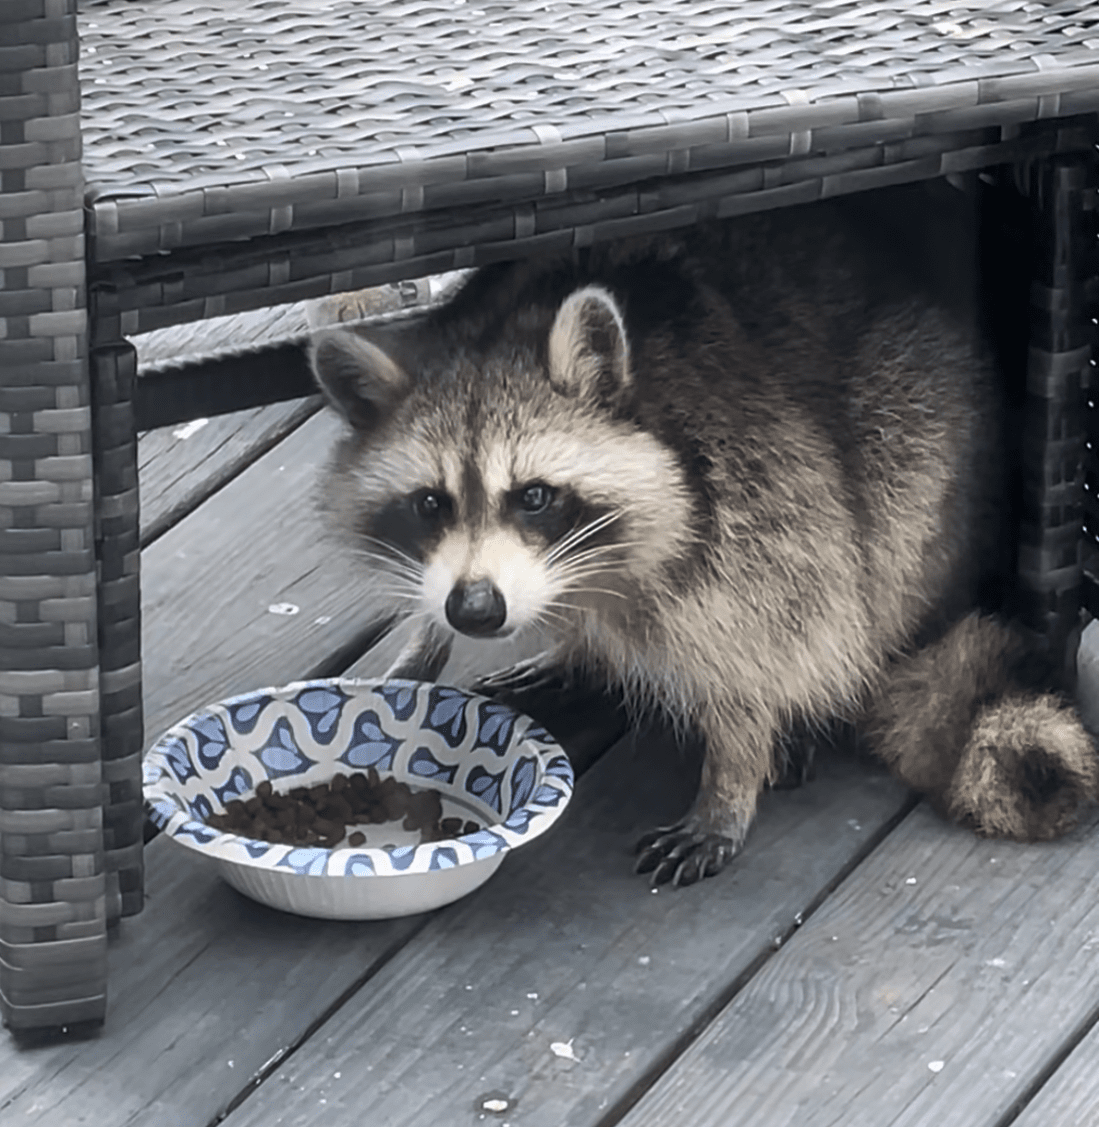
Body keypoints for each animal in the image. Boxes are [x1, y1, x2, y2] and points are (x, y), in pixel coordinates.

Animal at [309, 190, 1098, 886]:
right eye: (429, 504)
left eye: (533, 496)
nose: (476, 610)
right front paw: (422, 644)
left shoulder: (759, 479)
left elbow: (778, 621)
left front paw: (732, 775)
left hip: (921, 434)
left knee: (877, 546)